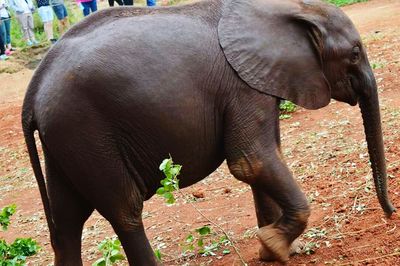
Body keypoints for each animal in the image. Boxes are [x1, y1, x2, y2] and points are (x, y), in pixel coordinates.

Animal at [23, 0, 396, 264]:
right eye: (354, 53)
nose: (391, 214)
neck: (289, 9)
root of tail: (33, 91)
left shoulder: (255, 83)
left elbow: (263, 160)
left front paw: (276, 251)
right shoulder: (240, 87)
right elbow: (252, 161)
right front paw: (274, 245)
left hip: (66, 139)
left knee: (67, 220)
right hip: (84, 129)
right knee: (124, 210)